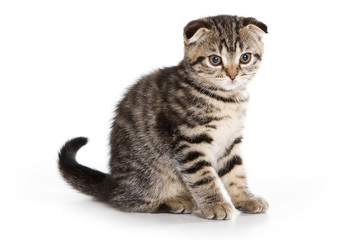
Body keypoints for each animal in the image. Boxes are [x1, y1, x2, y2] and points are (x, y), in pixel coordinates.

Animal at [58, 14, 268, 219]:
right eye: (215, 60)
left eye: (245, 58)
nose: (233, 75)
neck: (227, 99)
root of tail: (112, 182)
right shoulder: (190, 141)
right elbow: (203, 177)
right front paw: (215, 204)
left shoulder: (231, 140)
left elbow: (236, 173)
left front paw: (247, 199)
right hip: (147, 177)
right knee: (126, 201)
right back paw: (175, 202)